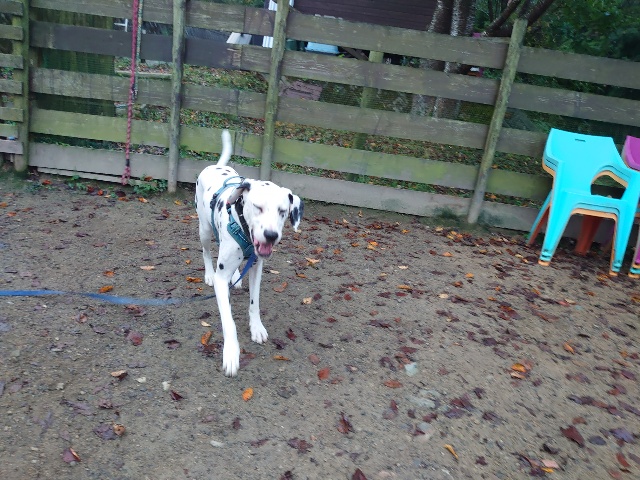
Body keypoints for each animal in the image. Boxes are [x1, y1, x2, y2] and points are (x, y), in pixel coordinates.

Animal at [195, 130, 303, 376]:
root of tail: (215, 166)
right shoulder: (221, 280)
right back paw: (208, 273)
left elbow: (254, 303)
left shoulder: (256, 268)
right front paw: (231, 352)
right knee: (206, 251)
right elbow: (229, 322)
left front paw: (256, 327)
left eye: (283, 211)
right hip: (204, 229)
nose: (271, 235)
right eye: (258, 207)